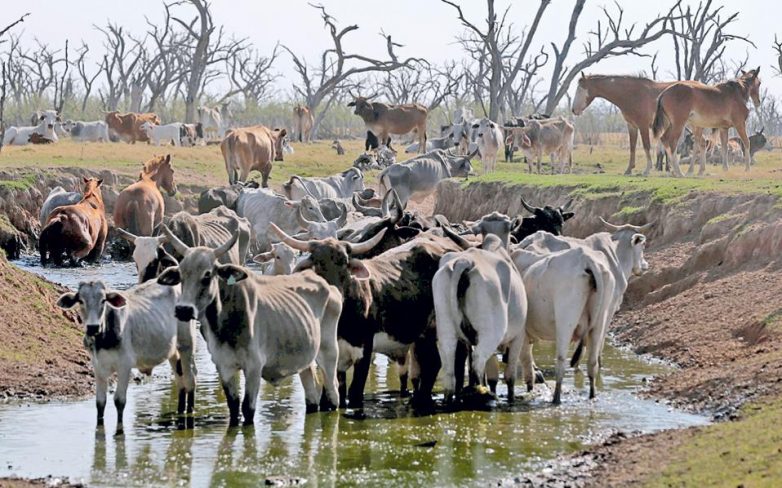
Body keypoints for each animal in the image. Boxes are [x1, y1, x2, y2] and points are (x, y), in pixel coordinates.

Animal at [56, 278, 194, 434]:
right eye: (80, 300)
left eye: (103, 300)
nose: (92, 327)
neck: (103, 340)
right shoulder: (97, 367)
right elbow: (100, 402)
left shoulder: (124, 365)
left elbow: (119, 400)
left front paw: (119, 430)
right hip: (173, 351)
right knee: (180, 382)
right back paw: (180, 411)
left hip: (187, 344)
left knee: (190, 380)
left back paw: (189, 413)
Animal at [158, 231, 344, 426]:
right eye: (180, 274)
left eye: (207, 275)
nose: (183, 310)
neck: (224, 324)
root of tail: (328, 286)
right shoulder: (224, 366)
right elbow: (233, 407)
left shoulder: (254, 366)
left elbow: (247, 409)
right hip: (305, 359)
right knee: (312, 395)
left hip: (328, 352)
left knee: (333, 392)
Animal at [272, 224, 462, 408]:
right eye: (318, 265)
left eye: (345, 264)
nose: (335, 296)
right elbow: (334, 394)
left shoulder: (364, 351)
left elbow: (355, 392)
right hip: (422, 334)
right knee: (432, 363)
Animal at [432, 234, 528, 402]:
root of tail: (464, 261)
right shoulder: (519, 335)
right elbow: (510, 375)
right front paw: (511, 399)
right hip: (491, 332)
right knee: (478, 360)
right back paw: (483, 394)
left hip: (446, 329)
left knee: (450, 365)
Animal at [516, 246, 620, 402]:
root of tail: (586, 259)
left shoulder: (522, 334)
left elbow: (526, 361)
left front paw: (530, 388)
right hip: (600, 322)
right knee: (592, 363)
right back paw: (592, 395)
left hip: (565, 322)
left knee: (561, 361)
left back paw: (556, 399)